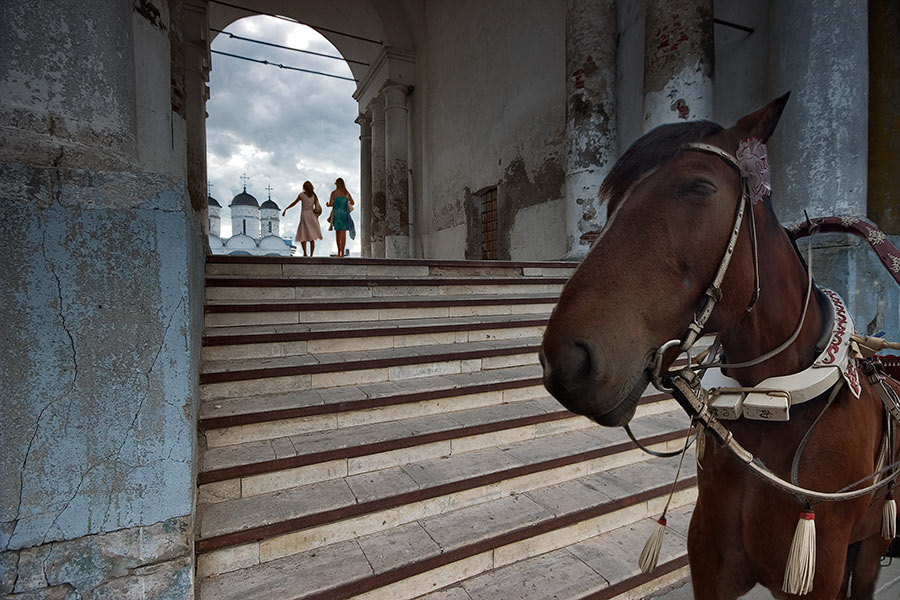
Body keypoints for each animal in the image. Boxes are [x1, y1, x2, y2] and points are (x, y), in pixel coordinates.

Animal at [540, 96, 900, 596]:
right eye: (610, 202)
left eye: (698, 186)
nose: (569, 360)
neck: (777, 403)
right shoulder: (712, 565)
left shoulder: (820, 562)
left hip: (868, 547)